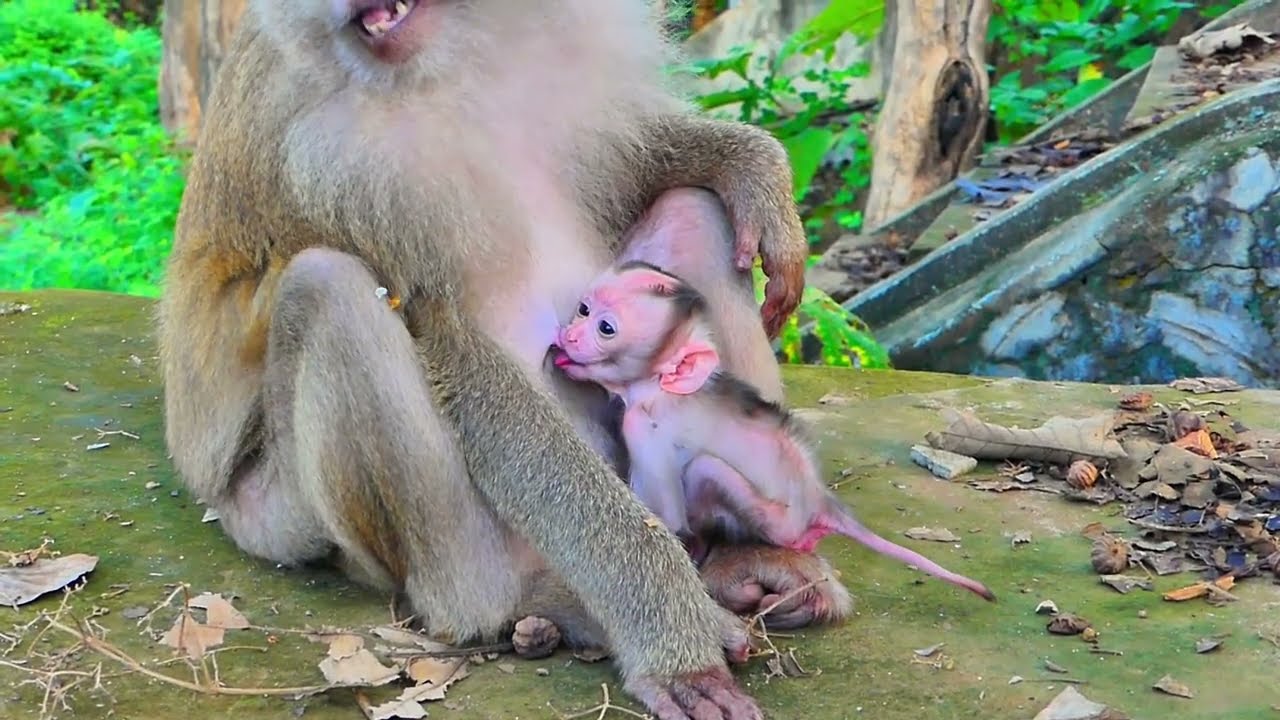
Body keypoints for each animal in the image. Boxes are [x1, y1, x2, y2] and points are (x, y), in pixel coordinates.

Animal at [155, 2, 856, 718]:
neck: (454, 50)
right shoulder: (345, 167)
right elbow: (453, 347)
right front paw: (671, 633)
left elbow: (637, 159)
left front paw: (746, 165)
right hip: (278, 517)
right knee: (328, 287)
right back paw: (514, 605)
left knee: (697, 211)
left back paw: (738, 555)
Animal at [553, 261, 997, 603]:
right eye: (583, 309)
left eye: (606, 329)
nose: (569, 335)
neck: (659, 389)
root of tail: (820, 500)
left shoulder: (644, 430)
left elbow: (667, 516)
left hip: (777, 521)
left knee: (705, 472)